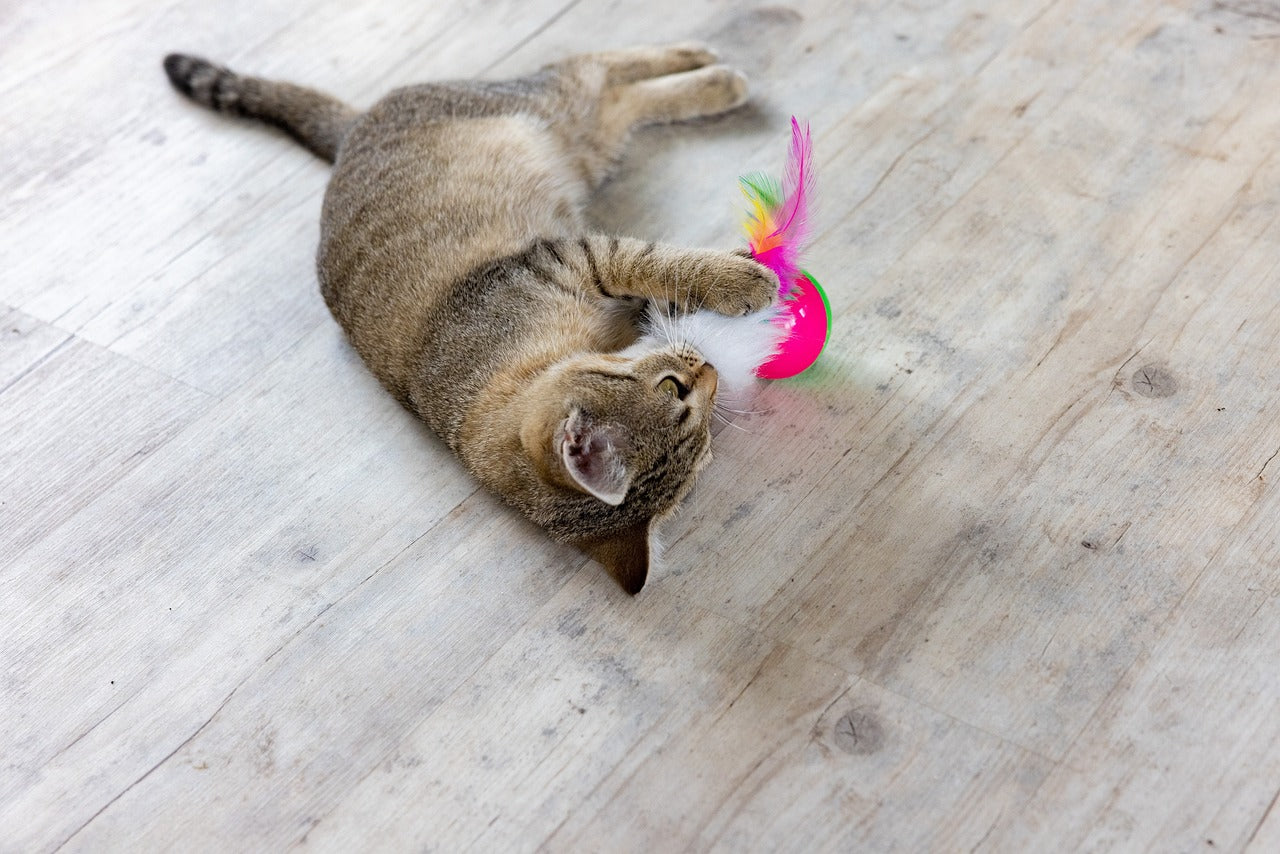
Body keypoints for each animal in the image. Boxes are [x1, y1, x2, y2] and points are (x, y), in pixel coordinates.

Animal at [161, 45, 778, 594]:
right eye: (679, 396)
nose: (711, 368)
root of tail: (350, 134)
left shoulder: (571, 256)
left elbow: (658, 264)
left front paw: (735, 273)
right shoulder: (576, 258)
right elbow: (658, 263)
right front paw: (742, 281)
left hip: (557, 118)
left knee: (601, 65)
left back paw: (701, 58)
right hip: (574, 127)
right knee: (604, 83)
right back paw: (720, 77)